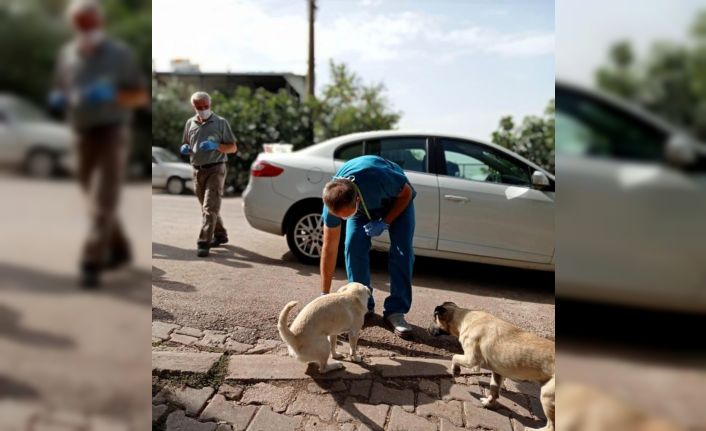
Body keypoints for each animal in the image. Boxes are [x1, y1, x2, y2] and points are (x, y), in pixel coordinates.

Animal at [428, 304, 556, 431]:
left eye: (434, 319)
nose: (428, 330)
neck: (463, 317)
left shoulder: (471, 360)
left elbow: (454, 357)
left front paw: (456, 370)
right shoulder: (497, 371)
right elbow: (493, 389)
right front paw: (488, 403)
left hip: (546, 396)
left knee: (551, 426)